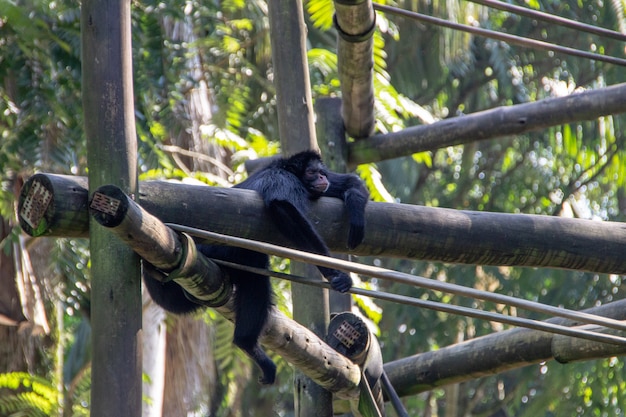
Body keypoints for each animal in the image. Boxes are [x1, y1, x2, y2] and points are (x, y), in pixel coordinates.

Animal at [143, 150, 366, 384]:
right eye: (313, 172)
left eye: (322, 172)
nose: (322, 177)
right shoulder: (283, 179)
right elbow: (284, 209)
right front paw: (336, 274)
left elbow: (349, 181)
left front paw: (355, 205)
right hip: (218, 251)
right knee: (256, 264)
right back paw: (247, 344)